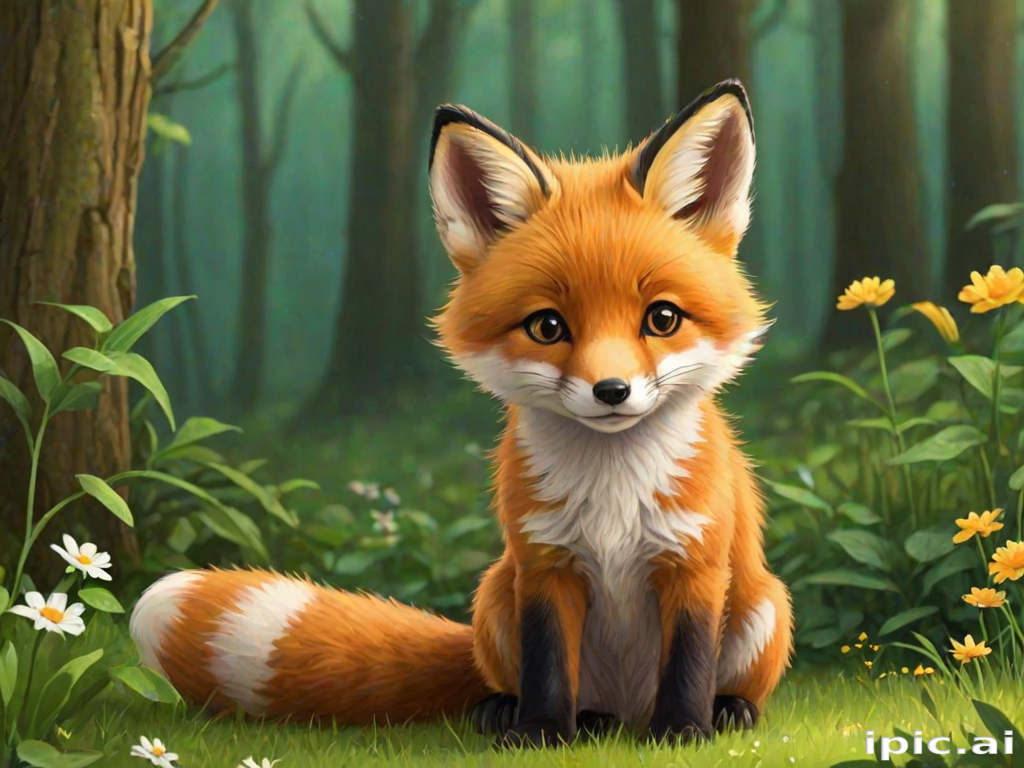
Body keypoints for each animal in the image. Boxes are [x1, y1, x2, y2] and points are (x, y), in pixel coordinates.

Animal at [129, 78, 793, 748]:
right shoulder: (542, 564)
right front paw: (540, 731)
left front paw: (683, 731)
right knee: (525, 686)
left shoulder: (694, 562)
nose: (612, 391)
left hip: (764, 606)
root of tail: (628, 707)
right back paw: (537, 714)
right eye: (547, 326)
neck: (613, 495)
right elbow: (548, 665)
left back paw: (727, 709)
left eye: (662, 318)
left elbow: (688, 661)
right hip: (495, 596)